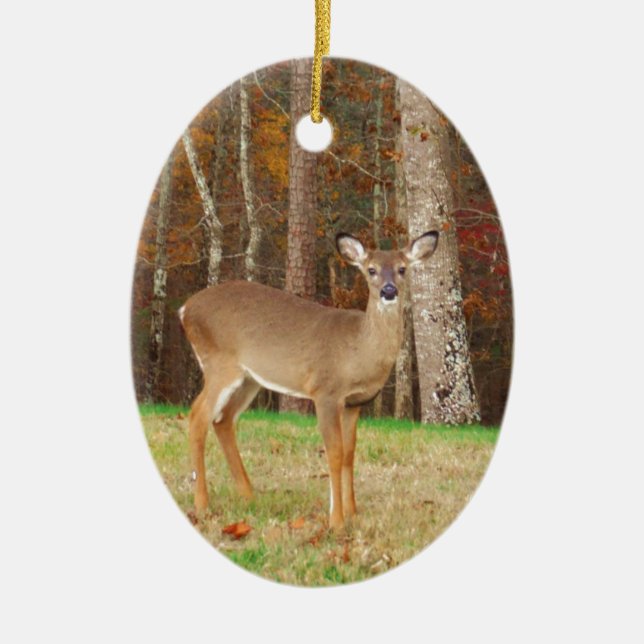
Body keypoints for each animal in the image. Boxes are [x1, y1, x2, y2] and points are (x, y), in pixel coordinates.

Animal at [178, 230, 439, 531]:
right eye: (371, 270)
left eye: (402, 269)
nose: (388, 291)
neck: (358, 351)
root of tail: (184, 309)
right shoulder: (325, 391)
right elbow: (334, 452)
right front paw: (336, 520)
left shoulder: (354, 403)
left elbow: (350, 453)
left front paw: (353, 512)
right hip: (220, 364)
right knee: (198, 415)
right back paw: (202, 504)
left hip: (249, 378)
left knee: (223, 420)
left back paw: (249, 496)